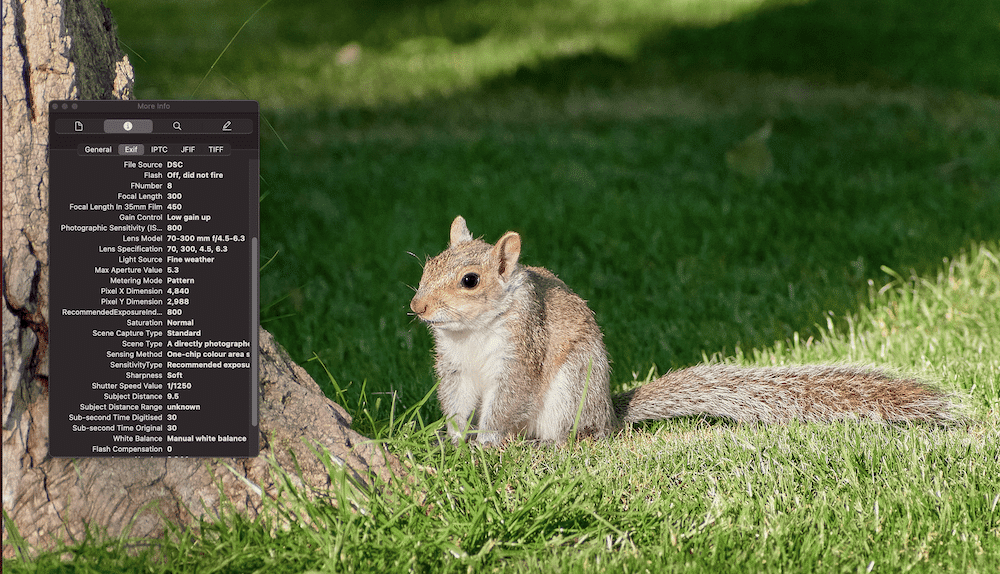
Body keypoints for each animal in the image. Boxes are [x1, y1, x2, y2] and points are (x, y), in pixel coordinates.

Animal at [409, 216, 957, 445]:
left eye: (470, 280)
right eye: (428, 264)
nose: (417, 306)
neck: (473, 331)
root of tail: (609, 412)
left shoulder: (522, 349)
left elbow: (506, 401)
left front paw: (485, 443)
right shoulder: (455, 369)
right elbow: (457, 403)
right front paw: (452, 440)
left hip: (572, 387)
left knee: (575, 434)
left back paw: (551, 444)